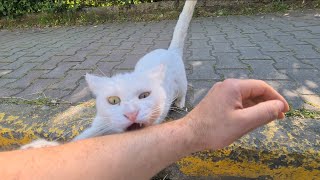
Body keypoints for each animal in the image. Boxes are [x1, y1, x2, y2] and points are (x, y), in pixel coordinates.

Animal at [20, 0, 196, 149]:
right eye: (113, 100)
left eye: (145, 95)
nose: (131, 114)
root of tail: (169, 50)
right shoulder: (99, 124)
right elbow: (82, 138)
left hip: (181, 83)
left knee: (183, 92)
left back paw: (180, 102)